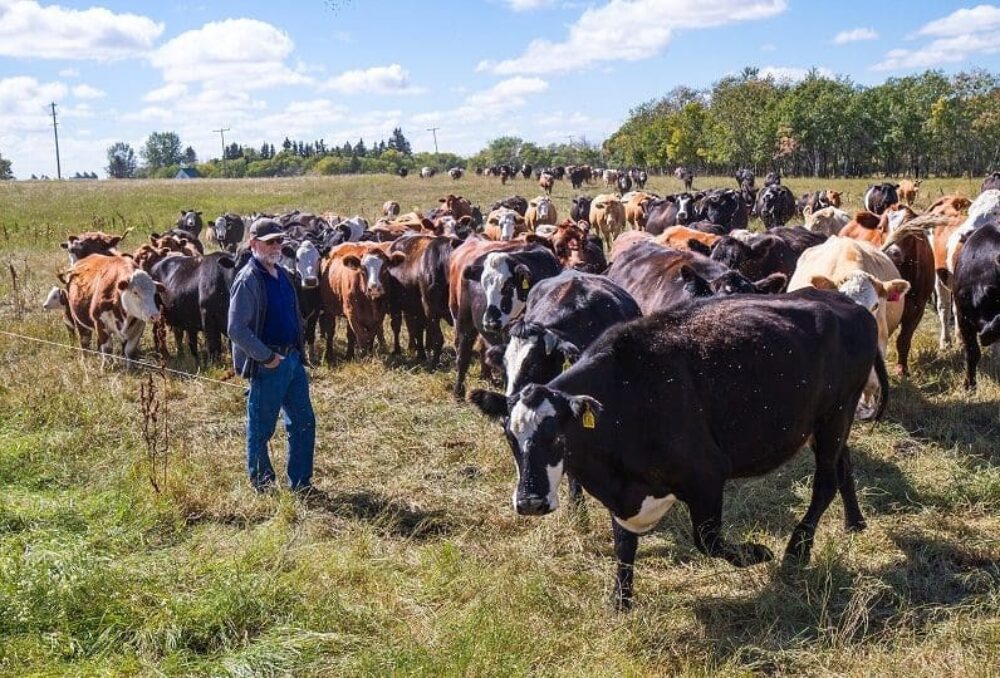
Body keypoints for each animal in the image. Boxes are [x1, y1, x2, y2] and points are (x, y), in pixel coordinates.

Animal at [472, 292, 888, 612]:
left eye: (558, 436)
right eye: (509, 436)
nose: (530, 501)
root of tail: (848, 304)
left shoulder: (707, 475)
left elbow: (708, 539)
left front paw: (757, 554)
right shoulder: (624, 495)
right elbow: (624, 546)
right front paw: (620, 601)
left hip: (836, 413)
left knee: (824, 483)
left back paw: (796, 550)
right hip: (829, 420)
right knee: (843, 466)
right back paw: (854, 522)